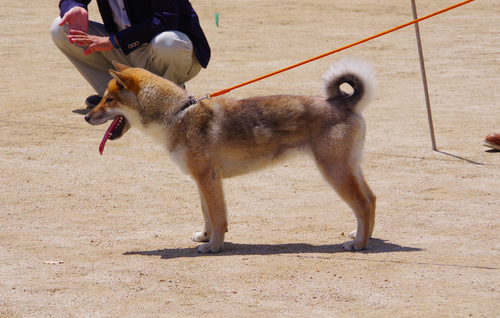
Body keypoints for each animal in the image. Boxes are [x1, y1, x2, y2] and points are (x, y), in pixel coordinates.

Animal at [85, 59, 376, 253]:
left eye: (109, 99)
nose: (86, 117)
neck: (177, 114)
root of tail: (345, 102)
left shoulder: (207, 177)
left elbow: (217, 216)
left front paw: (214, 247)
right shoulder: (204, 180)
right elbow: (209, 214)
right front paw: (206, 237)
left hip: (334, 171)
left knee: (362, 204)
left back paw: (358, 244)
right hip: (349, 168)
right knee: (371, 200)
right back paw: (363, 235)